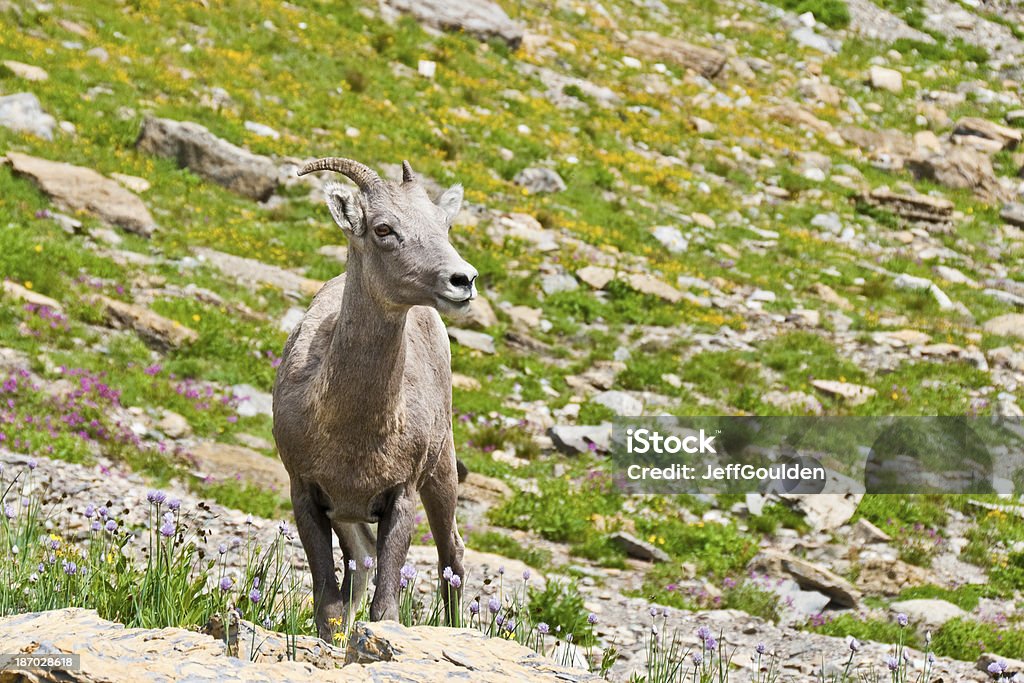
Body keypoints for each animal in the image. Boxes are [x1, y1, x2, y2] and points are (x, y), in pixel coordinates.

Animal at [272, 157, 479, 638]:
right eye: (384, 229)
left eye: (444, 225)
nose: (463, 280)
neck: (352, 431)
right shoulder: (307, 495)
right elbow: (330, 606)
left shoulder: (401, 497)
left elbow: (385, 611)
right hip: (350, 518)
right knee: (363, 565)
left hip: (441, 474)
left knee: (451, 556)